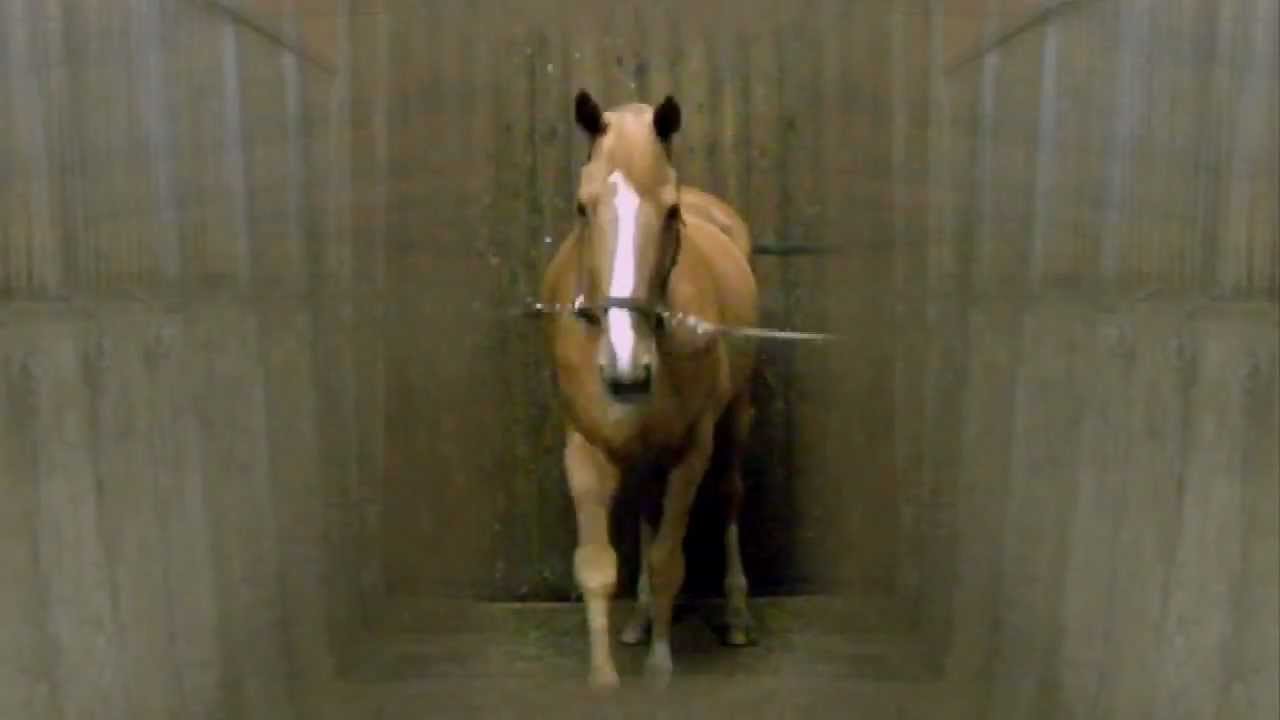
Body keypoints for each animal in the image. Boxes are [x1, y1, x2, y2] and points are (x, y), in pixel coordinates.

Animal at [537, 89, 761, 689]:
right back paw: (638, 620)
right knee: (643, 509)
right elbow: (596, 565)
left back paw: (736, 615)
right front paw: (604, 679)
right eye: (582, 207)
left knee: (730, 496)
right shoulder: (584, 449)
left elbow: (667, 561)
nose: (626, 370)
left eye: (672, 212)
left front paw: (661, 669)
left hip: (736, 421)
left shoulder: (691, 451)